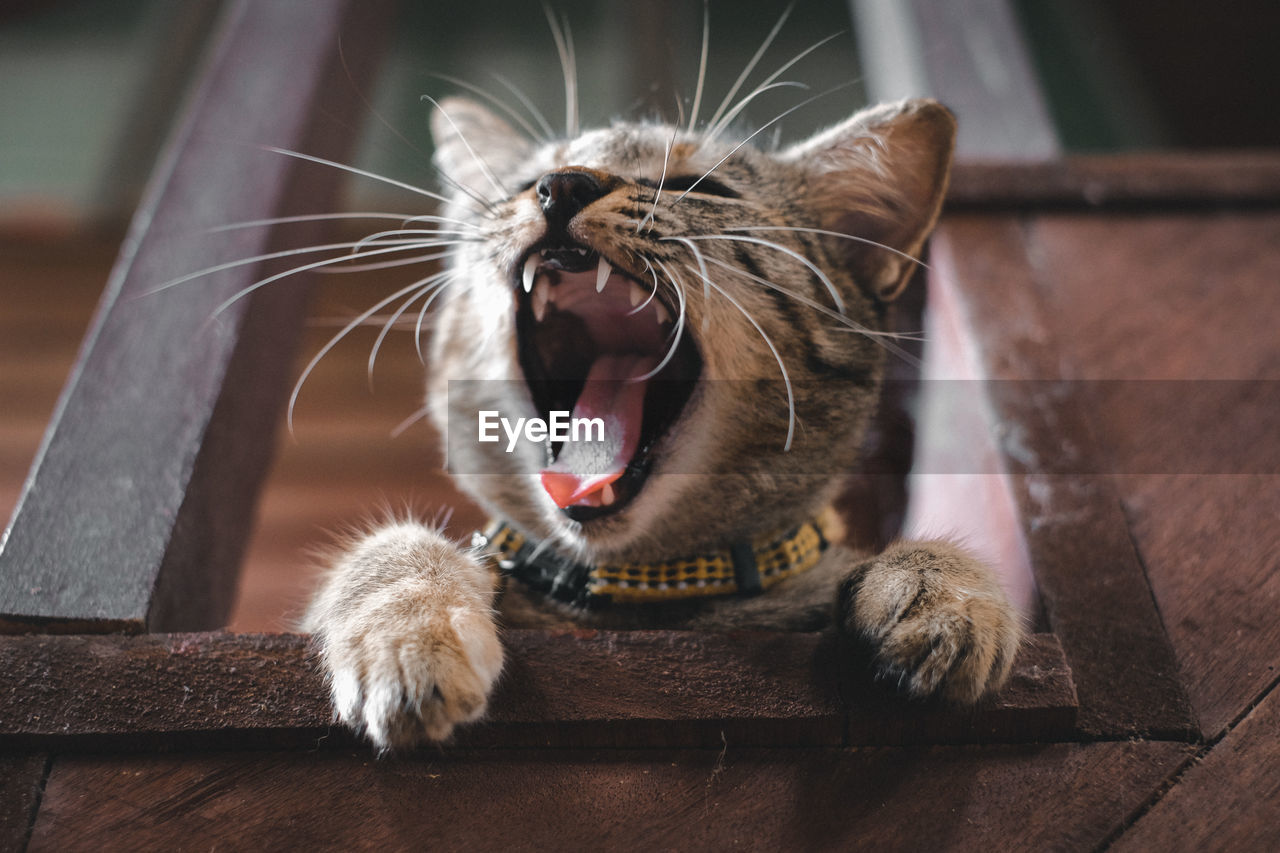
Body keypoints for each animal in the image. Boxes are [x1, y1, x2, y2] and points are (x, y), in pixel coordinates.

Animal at [299, 81, 1018, 742]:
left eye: (705, 187)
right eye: (526, 182)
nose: (564, 184)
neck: (645, 585)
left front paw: (945, 592)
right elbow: (396, 545)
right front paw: (410, 631)